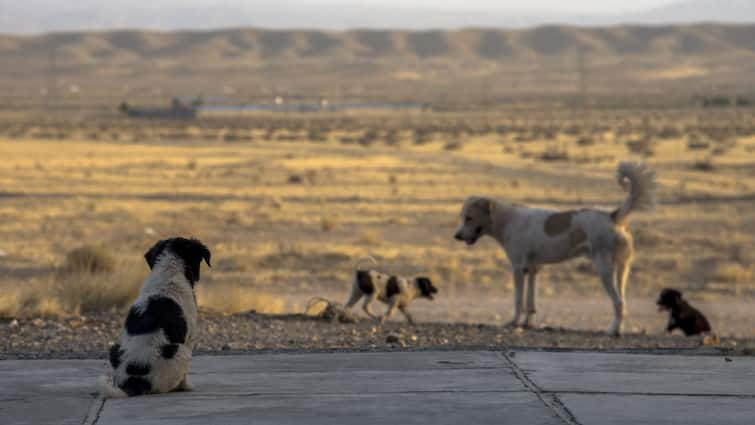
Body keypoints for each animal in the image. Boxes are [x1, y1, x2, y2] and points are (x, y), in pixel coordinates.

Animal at [100, 237, 211, 396]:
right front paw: (187, 386)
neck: (168, 272)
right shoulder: (189, 337)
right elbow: (185, 376)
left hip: (114, 349)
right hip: (181, 352)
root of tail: (135, 381)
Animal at [454, 161, 656, 334]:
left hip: (604, 269)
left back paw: (613, 331)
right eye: (462, 217)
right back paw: (619, 329)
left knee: (618, 302)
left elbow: (518, 300)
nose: (456, 236)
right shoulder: (532, 269)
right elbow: (530, 302)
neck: (507, 220)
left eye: (469, 218)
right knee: (623, 300)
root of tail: (612, 216)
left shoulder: (518, 269)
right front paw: (527, 323)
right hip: (622, 270)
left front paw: (513, 322)